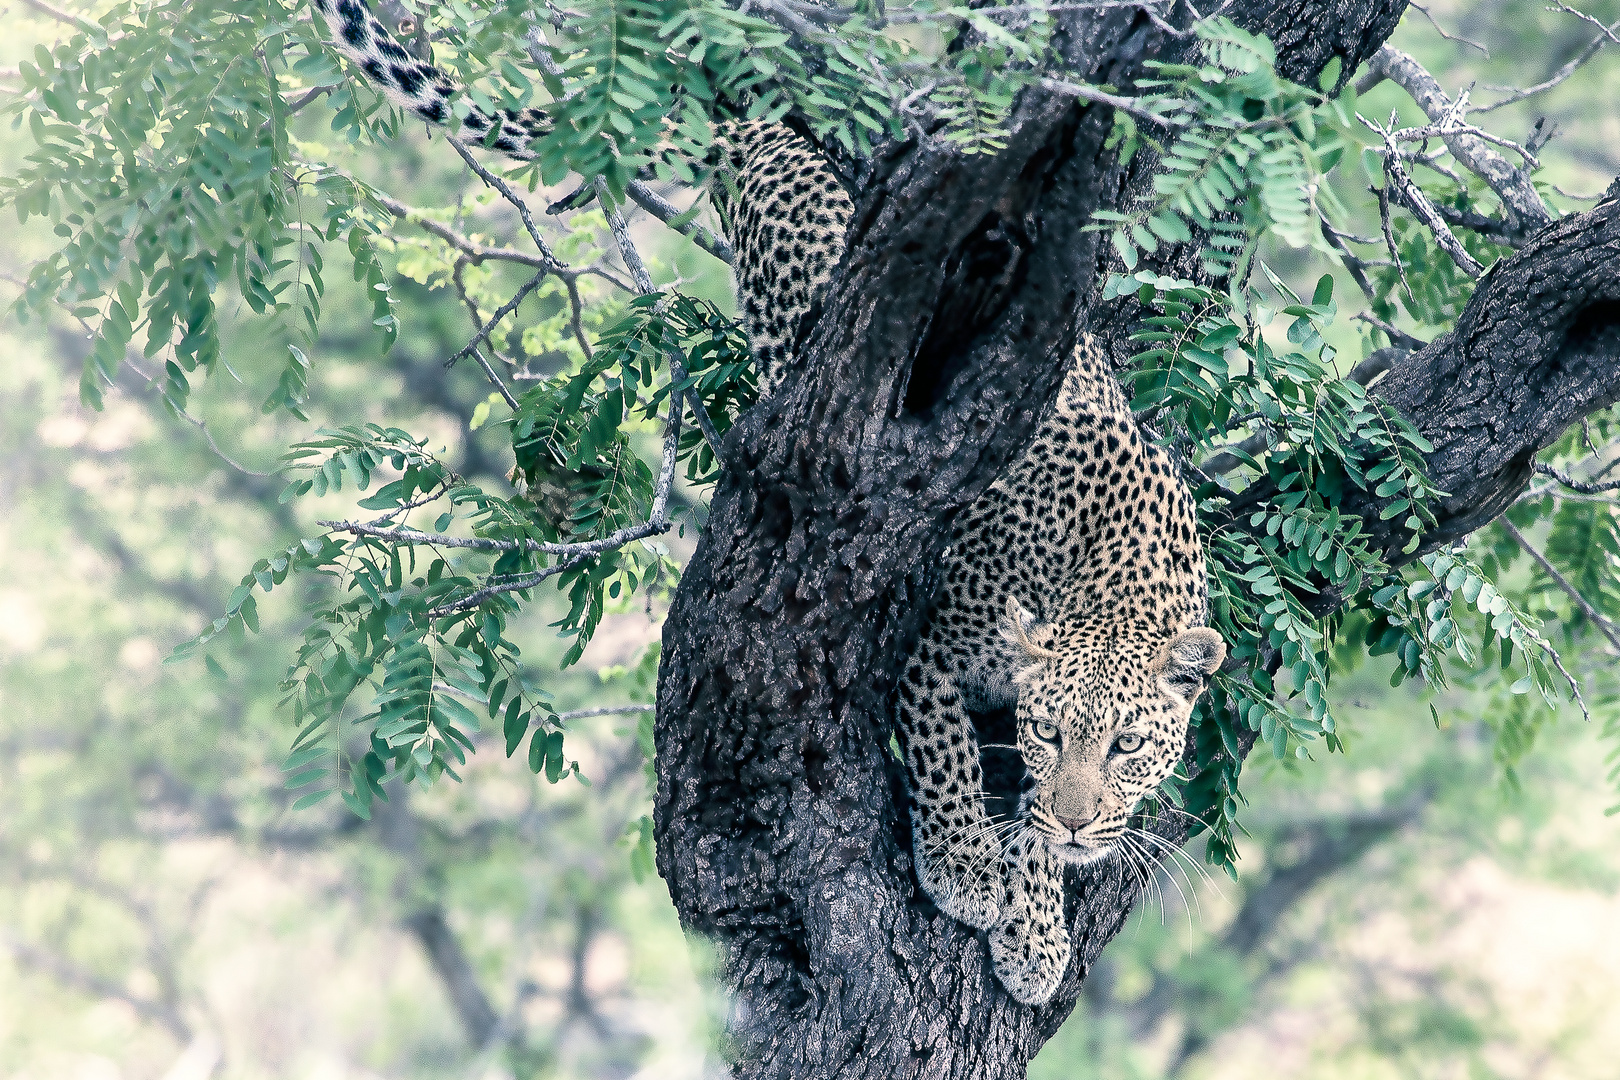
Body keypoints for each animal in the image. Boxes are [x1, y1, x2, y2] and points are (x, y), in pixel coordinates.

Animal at [309, 0, 1218, 1003]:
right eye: (1054, 734)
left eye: (1127, 746)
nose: (1077, 820)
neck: (1106, 571)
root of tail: (761, 130)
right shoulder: (934, 649)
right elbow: (945, 756)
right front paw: (973, 871)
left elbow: (1019, 805)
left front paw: (1039, 920)